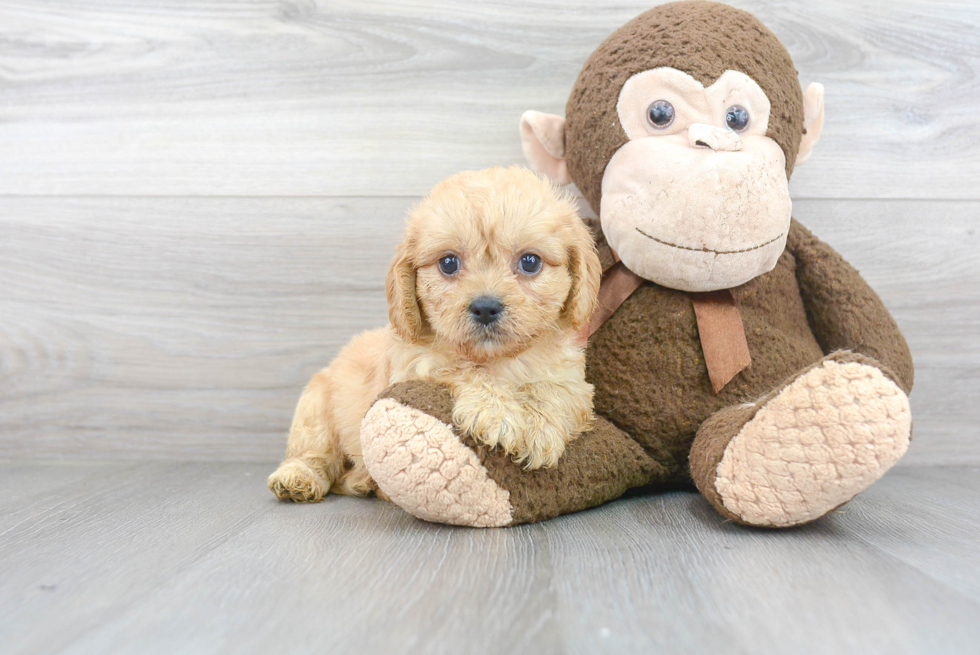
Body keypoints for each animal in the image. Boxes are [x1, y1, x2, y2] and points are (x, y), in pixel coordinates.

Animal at [270, 165, 604, 502]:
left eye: (530, 262)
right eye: (448, 263)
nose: (485, 307)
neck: (500, 360)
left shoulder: (574, 381)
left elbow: (553, 389)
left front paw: (539, 427)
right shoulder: (416, 367)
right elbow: (463, 369)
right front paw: (495, 413)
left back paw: (362, 481)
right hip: (316, 407)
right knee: (316, 453)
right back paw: (298, 477)